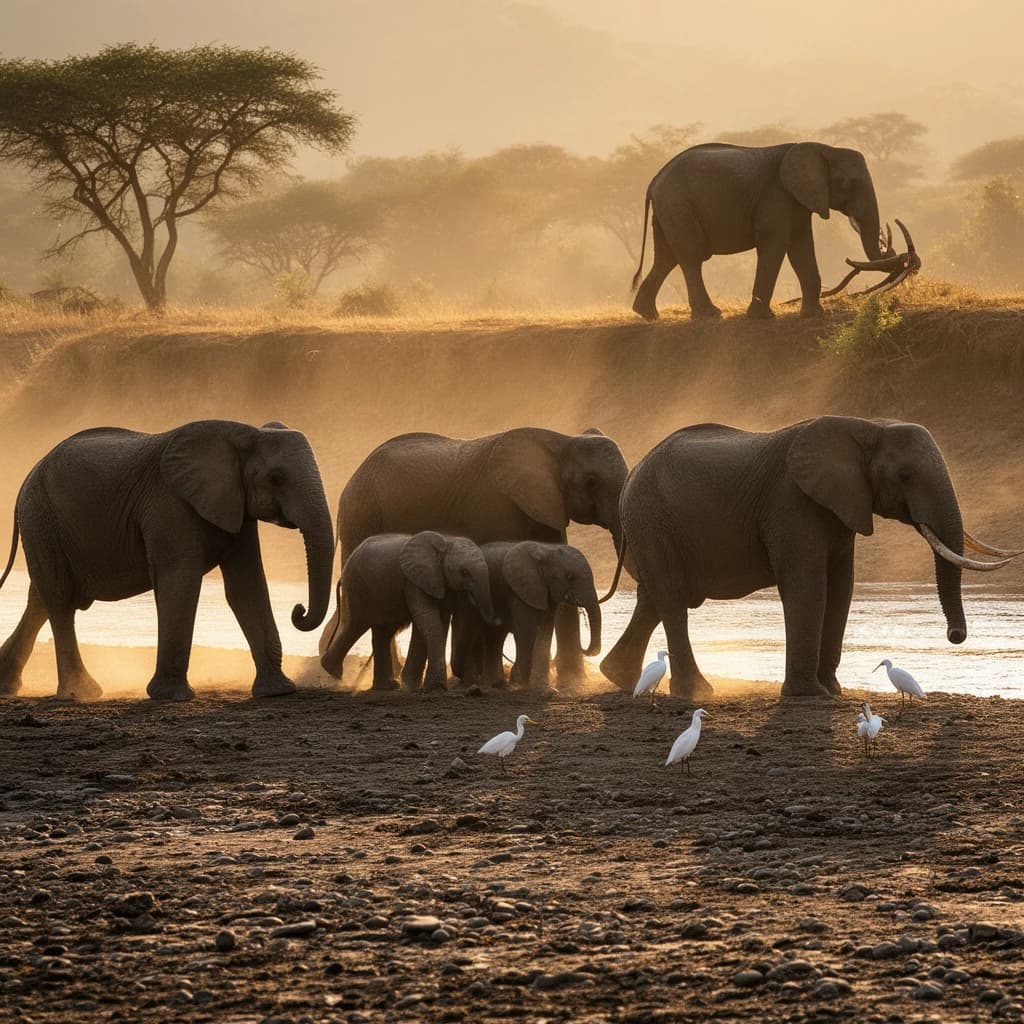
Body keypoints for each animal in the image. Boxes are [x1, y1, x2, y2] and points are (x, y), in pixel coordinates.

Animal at [0, 420, 334, 701]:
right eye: (276, 478)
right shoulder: (168, 505)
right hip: (41, 519)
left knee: (40, 598)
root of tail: (27, 477)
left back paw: (10, 686)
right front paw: (172, 697)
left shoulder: (235, 507)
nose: (298, 610)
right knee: (60, 599)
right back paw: (82, 692)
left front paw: (278, 692)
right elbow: (180, 581)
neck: (243, 432)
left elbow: (246, 587)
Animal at [319, 531, 498, 692]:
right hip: (357, 585)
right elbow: (429, 621)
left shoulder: (439, 583)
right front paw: (431, 687)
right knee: (356, 625)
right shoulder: (414, 582)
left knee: (382, 631)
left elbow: (437, 623)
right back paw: (333, 672)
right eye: (464, 572)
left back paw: (387, 686)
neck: (446, 540)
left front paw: (414, 685)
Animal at [452, 541, 602, 691]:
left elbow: (545, 632)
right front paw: (522, 683)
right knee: (472, 631)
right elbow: (526, 631)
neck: (546, 549)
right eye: (570, 576)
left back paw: (496, 684)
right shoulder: (520, 591)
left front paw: (545, 688)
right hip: (468, 597)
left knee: (494, 636)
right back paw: (475, 682)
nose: (584, 648)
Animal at [599, 416, 1020, 700]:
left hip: (652, 526)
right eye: (904, 475)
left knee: (656, 597)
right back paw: (696, 692)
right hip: (651, 519)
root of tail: (630, 477)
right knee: (672, 598)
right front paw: (810, 696)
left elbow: (841, 589)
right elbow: (808, 586)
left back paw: (618, 677)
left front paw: (833, 690)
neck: (867, 426)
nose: (955, 636)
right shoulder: (792, 503)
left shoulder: (842, 507)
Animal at [631, 141, 910, 321]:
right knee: (692, 255)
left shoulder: (798, 201)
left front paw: (813, 316)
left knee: (667, 258)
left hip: (669, 209)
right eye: (849, 184)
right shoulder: (776, 196)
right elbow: (775, 246)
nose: (900, 256)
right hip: (678, 204)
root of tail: (653, 181)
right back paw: (709, 315)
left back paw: (647, 314)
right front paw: (762, 318)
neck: (822, 147)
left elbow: (801, 247)